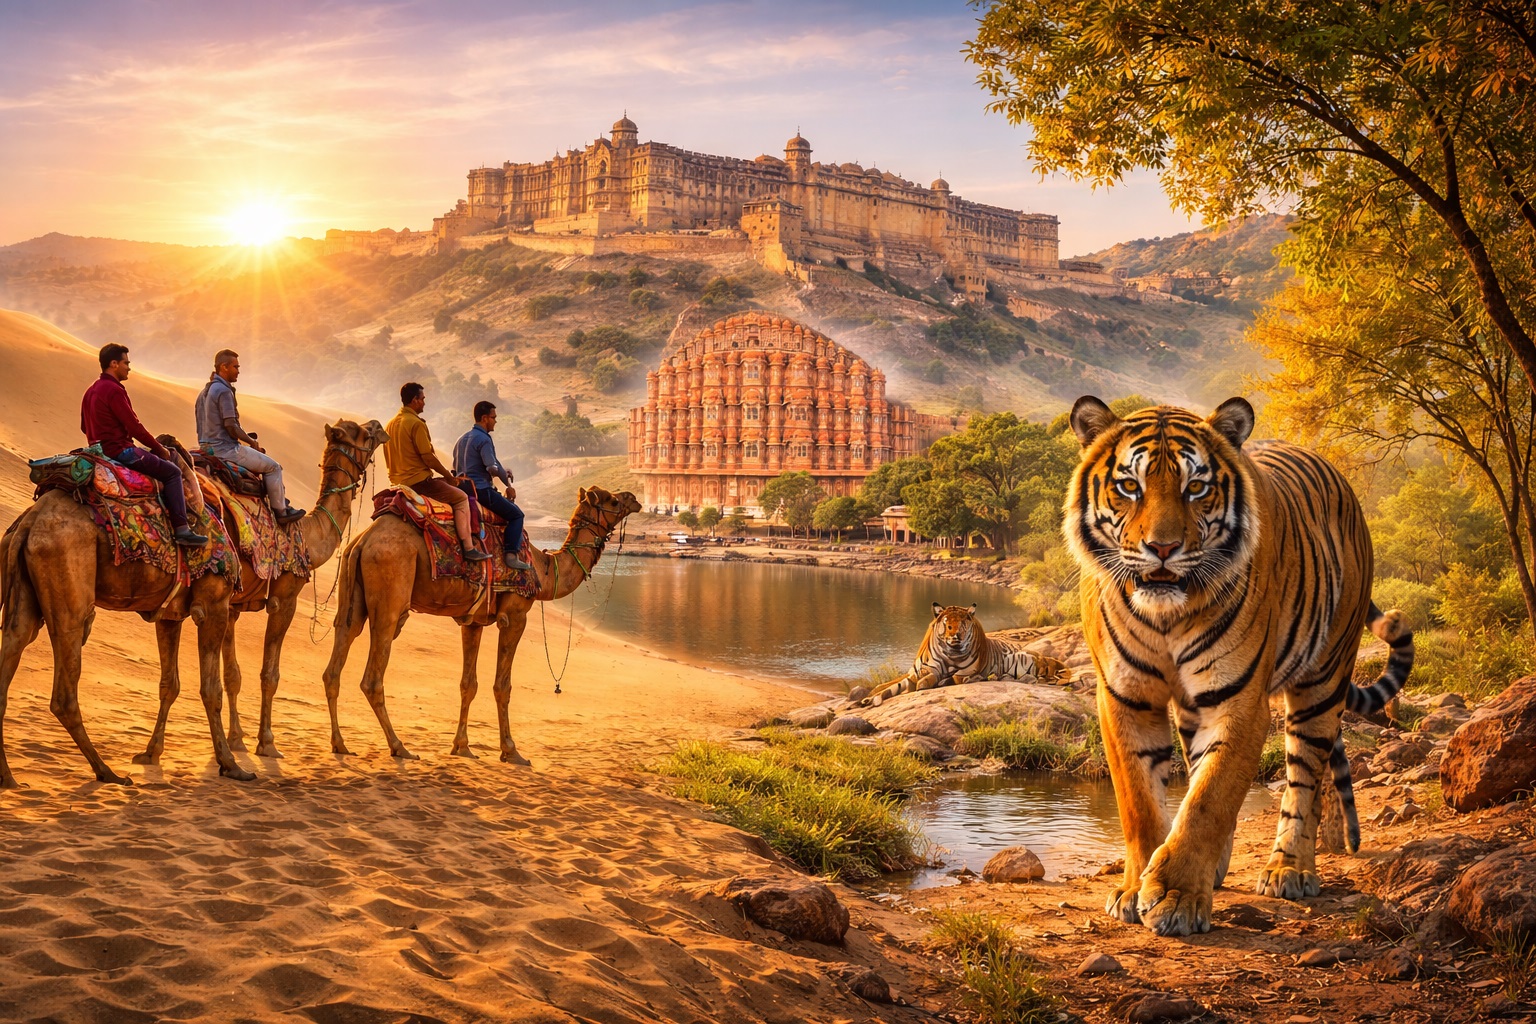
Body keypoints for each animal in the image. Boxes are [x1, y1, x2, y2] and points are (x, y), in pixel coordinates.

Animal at [0, 442, 250, 787]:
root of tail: (30, 520)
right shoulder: (214, 604)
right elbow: (211, 689)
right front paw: (231, 765)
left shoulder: (170, 614)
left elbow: (170, 683)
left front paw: (149, 754)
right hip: (67, 582)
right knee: (65, 687)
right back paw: (107, 772)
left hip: (24, 591)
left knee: (15, 644)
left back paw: (9, 778)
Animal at [134, 419, 389, 767]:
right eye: (362, 433)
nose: (378, 425)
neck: (308, 537)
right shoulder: (285, 598)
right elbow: (269, 675)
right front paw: (266, 743)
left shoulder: (231, 605)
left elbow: (233, 676)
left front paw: (236, 740)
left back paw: (151, 751)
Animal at [321, 485, 641, 764]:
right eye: (613, 500)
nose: (635, 499)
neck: (544, 570)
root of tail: (362, 540)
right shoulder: (515, 615)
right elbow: (503, 686)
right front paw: (511, 751)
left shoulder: (472, 622)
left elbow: (468, 684)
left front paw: (461, 746)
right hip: (390, 591)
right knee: (373, 676)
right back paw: (400, 747)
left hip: (352, 591)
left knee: (336, 659)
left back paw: (340, 744)